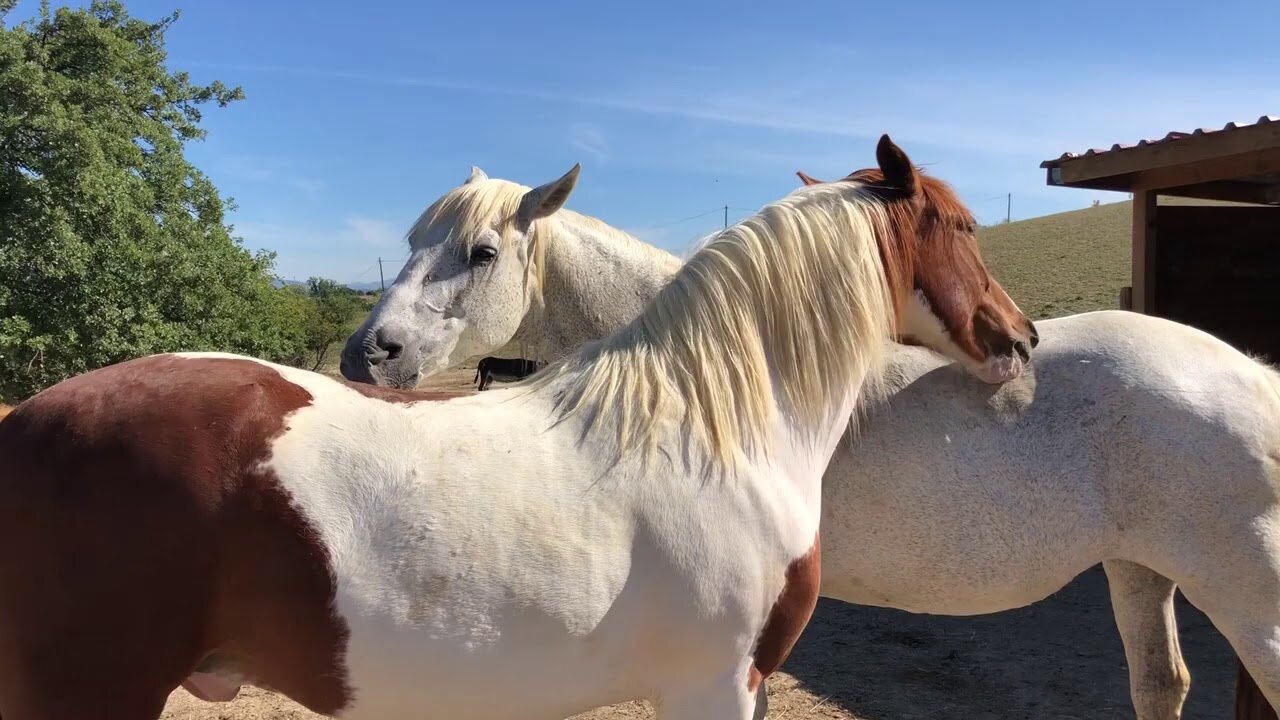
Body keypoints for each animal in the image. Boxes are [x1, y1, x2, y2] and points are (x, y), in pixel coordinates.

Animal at [343, 154, 1280, 712]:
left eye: (481, 252)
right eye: (412, 242)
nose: (365, 353)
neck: (712, 377)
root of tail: (1254, 377)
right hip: (1140, 571)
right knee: (1161, 683)